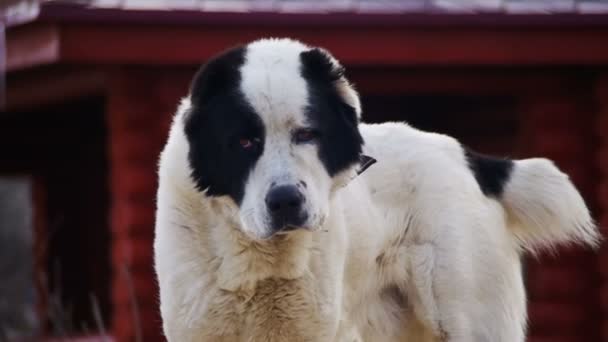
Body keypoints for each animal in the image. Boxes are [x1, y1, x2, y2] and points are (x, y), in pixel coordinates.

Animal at [154, 38, 600, 340]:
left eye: (307, 134)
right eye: (245, 143)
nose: (285, 201)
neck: (258, 256)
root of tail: (467, 158)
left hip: (470, 317)